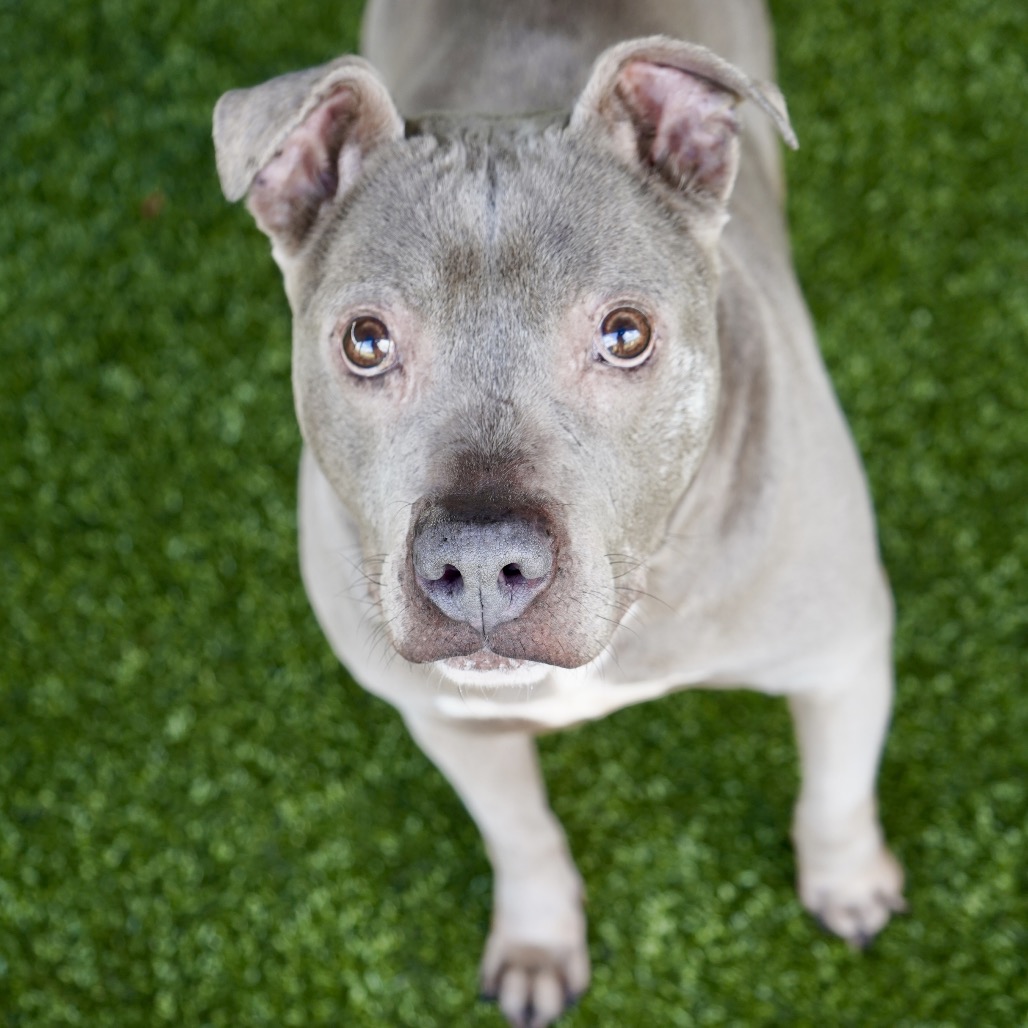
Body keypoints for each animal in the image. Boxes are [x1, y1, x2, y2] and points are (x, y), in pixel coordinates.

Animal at [213, 1, 906, 1023]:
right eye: (366, 342)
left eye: (626, 335)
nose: (478, 563)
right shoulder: (449, 723)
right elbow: (523, 834)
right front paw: (539, 941)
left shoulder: (841, 653)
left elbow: (836, 792)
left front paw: (848, 882)